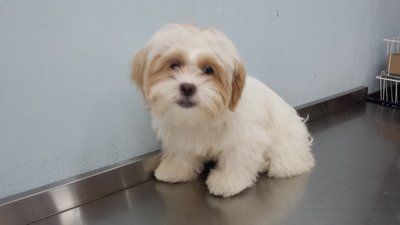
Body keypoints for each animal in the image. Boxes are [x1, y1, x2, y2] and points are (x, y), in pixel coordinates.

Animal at [133, 23, 314, 198]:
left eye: (209, 69)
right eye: (174, 65)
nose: (187, 87)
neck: (203, 117)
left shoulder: (244, 138)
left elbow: (238, 159)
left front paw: (228, 182)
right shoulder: (181, 136)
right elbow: (181, 154)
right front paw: (174, 170)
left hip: (286, 145)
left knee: (286, 163)